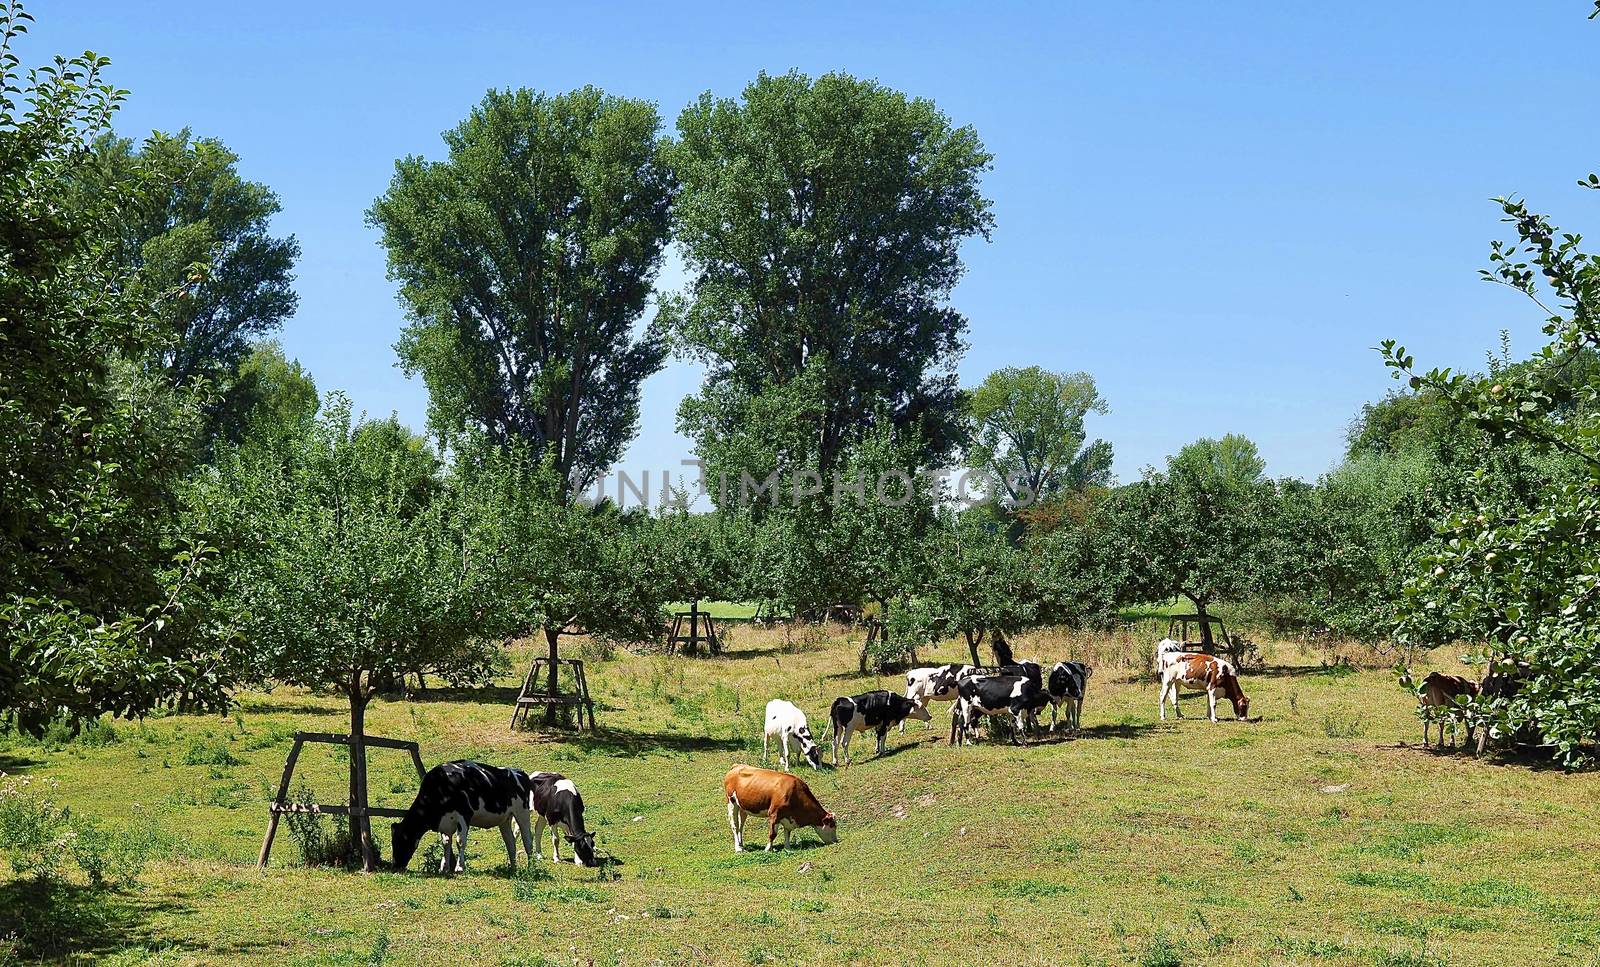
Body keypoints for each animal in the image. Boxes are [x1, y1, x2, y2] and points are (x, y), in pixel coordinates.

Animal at [392, 762, 537, 877]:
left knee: (528, 840)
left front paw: (459, 867)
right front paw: (444, 868)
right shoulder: (444, 823)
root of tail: (519, 772)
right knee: (510, 842)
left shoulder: (463, 816)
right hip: (505, 819)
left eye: (400, 841)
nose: (395, 866)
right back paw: (513, 868)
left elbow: (460, 842)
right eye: (392, 842)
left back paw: (531, 867)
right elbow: (446, 843)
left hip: (522, 813)